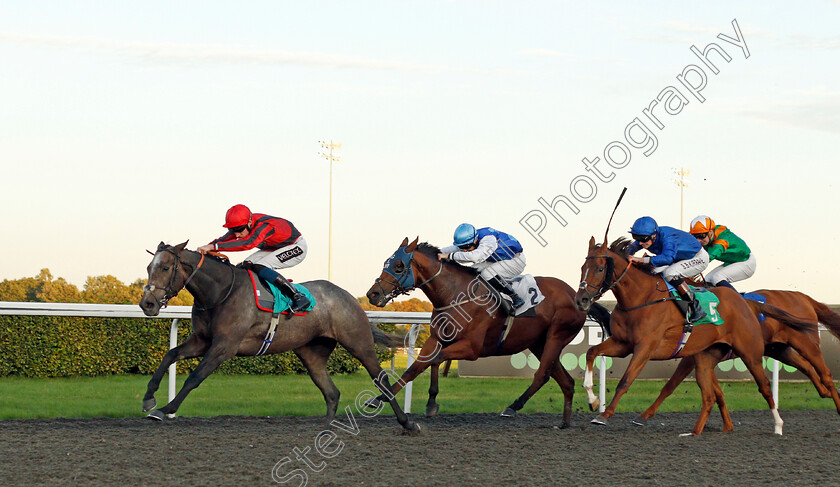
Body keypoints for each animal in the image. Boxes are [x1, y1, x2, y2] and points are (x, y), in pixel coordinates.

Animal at [142, 242, 426, 432]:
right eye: (148, 267)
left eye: (165, 267)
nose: (147, 303)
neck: (221, 291)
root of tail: (349, 297)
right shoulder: (202, 340)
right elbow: (169, 355)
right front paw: (148, 399)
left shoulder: (224, 346)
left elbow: (194, 377)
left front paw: (165, 409)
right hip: (311, 353)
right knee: (331, 391)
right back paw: (324, 427)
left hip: (359, 344)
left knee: (382, 381)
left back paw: (407, 424)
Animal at [362, 239, 612, 428]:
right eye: (387, 262)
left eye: (398, 266)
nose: (373, 294)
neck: (455, 293)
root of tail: (576, 295)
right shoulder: (436, 338)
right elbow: (418, 366)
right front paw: (387, 399)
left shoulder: (472, 348)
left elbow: (430, 361)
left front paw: (399, 399)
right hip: (538, 343)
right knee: (565, 381)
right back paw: (565, 422)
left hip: (556, 336)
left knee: (542, 375)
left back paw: (512, 407)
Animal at [576, 236, 784, 434]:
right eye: (583, 267)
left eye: (600, 269)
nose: (581, 300)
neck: (641, 298)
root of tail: (744, 302)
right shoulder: (622, 344)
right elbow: (591, 352)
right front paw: (593, 399)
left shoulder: (644, 348)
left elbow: (625, 381)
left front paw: (604, 415)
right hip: (707, 355)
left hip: (749, 352)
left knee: (765, 386)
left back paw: (778, 425)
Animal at [636, 290, 840, 428]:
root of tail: (802, 296)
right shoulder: (703, 356)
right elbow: (717, 391)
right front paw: (727, 424)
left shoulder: (692, 358)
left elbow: (670, 385)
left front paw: (644, 415)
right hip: (779, 349)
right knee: (806, 366)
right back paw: (825, 392)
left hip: (806, 343)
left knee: (824, 372)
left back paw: (835, 403)